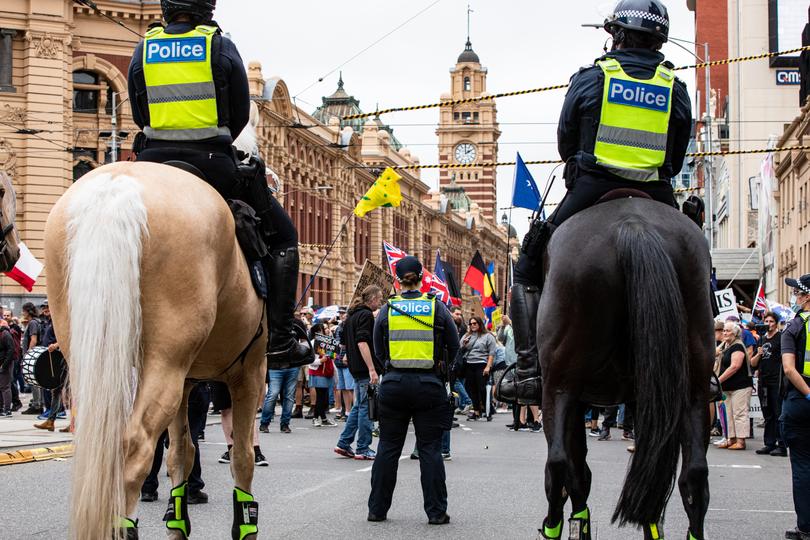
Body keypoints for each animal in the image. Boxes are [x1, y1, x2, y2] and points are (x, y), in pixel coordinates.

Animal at [45, 150, 266, 536]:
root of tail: (118, 187)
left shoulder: (189, 381)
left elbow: (181, 453)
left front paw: (177, 522)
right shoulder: (249, 374)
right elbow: (242, 457)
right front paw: (245, 524)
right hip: (167, 361)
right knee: (135, 447)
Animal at [540, 197, 712, 540]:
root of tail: (634, 225)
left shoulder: (574, 396)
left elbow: (577, 468)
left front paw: (580, 523)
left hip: (558, 383)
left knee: (558, 464)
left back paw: (552, 527)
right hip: (693, 384)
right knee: (695, 475)